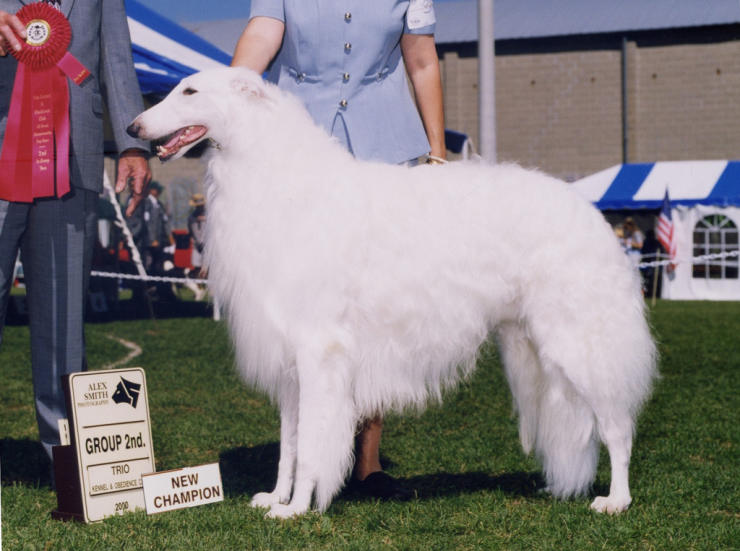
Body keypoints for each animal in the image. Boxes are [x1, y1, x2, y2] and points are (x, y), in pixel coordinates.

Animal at [130, 67, 656, 520]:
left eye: (189, 91)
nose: (134, 128)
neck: (282, 180)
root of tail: (591, 214)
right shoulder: (291, 362)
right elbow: (290, 445)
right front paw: (276, 498)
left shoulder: (320, 351)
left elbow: (313, 447)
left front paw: (297, 508)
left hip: (579, 345)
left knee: (618, 429)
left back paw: (616, 499)